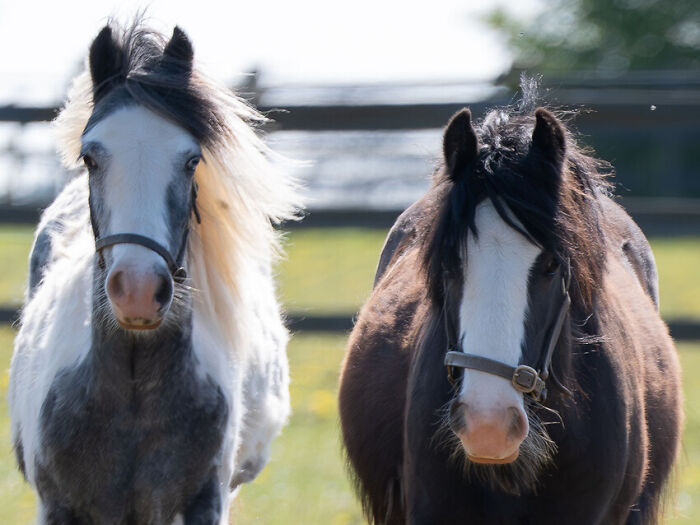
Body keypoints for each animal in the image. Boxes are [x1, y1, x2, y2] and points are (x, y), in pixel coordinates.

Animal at [9, 21, 300, 524]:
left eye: (191, 159)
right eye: (90, 157)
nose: (139, 291)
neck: (131, 393)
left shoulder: (206, 502)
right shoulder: (57, 505)